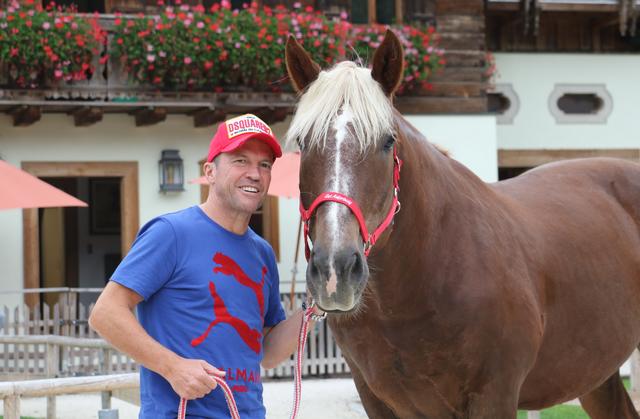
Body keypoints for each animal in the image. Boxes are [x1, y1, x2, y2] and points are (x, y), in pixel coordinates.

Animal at [284, 30, 640, 419]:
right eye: (303, 142)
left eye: (387, 141)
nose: (335, 270)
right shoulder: (376, 399)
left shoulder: (495, 397)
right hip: (596, 373)